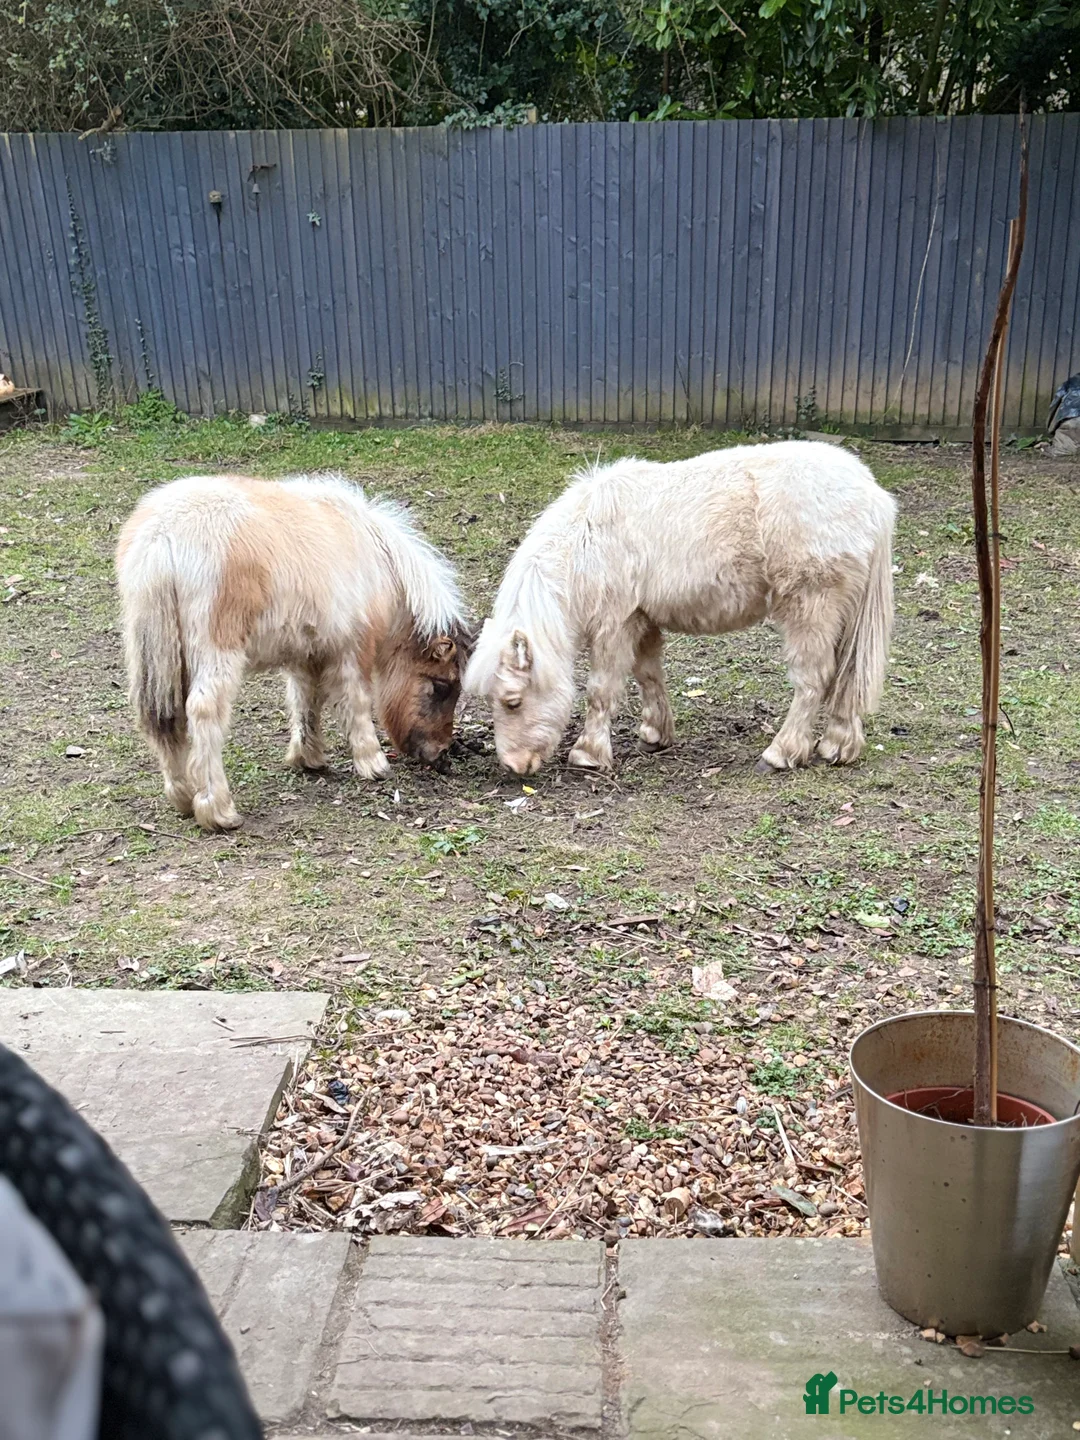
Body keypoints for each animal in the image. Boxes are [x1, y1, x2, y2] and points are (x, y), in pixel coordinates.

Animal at [116, 472, 470, 831]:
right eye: (441, 686)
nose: (441, 755)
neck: (376, 558)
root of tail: (161, 537)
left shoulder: (307, 653)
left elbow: (306, 701)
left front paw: (308, 758)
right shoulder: (351, 649)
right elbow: (356, 703)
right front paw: (373, 763)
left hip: (163, 660)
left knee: (166, 717)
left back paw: (184, 797)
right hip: (216, 652)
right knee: (203, 712)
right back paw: (218, 810)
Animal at [464, 440, 896, 777]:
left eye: (513, 701)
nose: (515, 766)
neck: (585, 541)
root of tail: (873, 496)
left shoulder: (614, 623)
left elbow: (601, 689)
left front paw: (588, 754)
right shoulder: (642, 619)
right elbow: (648, 675)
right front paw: (656, 734)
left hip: (810, 607)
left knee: (814, 679)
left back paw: (781, 753)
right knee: (847, 676)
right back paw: (837, 745)